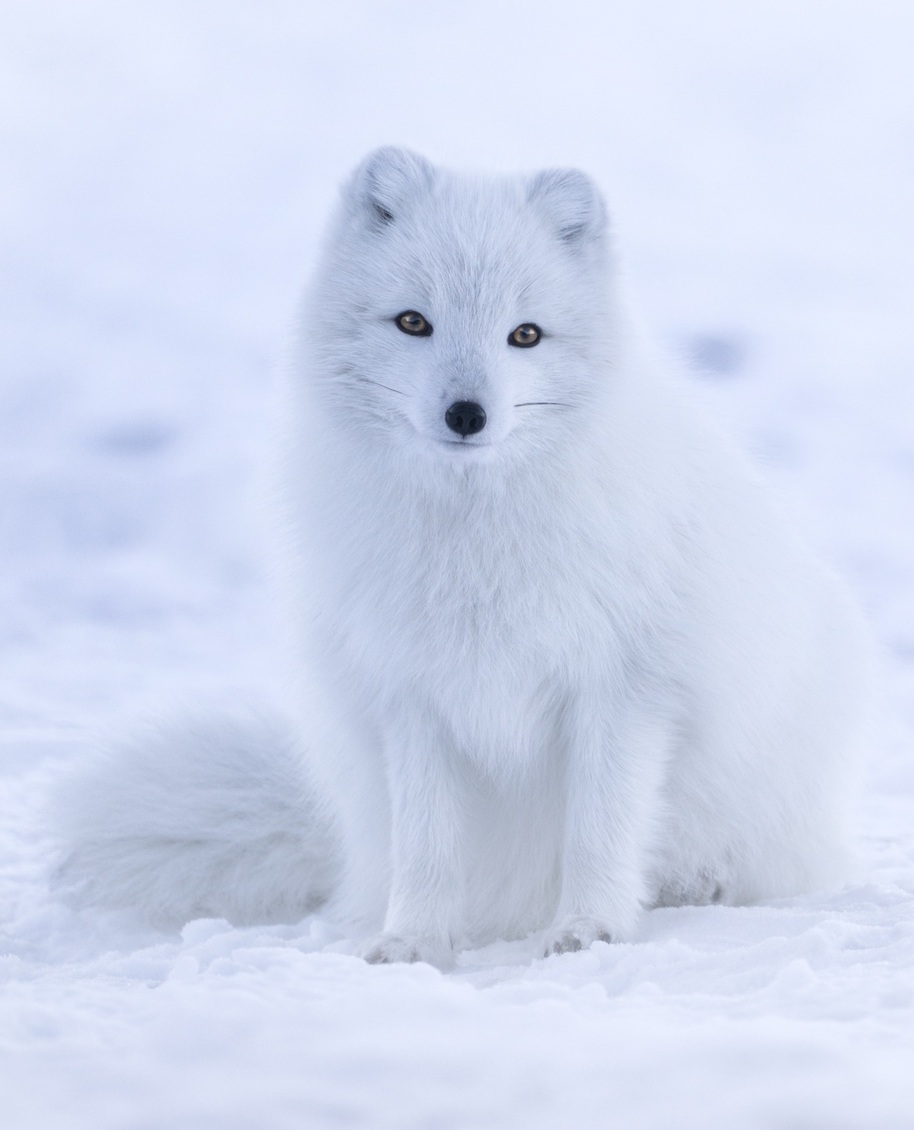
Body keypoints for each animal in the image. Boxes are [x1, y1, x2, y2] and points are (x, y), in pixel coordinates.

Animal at [55, 145, 863, 967]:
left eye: (526, 335)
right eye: (414, 322)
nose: (467, 414)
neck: (475, 541)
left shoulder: (624, 688)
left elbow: (599, 830)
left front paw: (589, 929)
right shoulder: (411, 694)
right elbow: (427, 845)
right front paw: (413, 940)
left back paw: (699, 883)